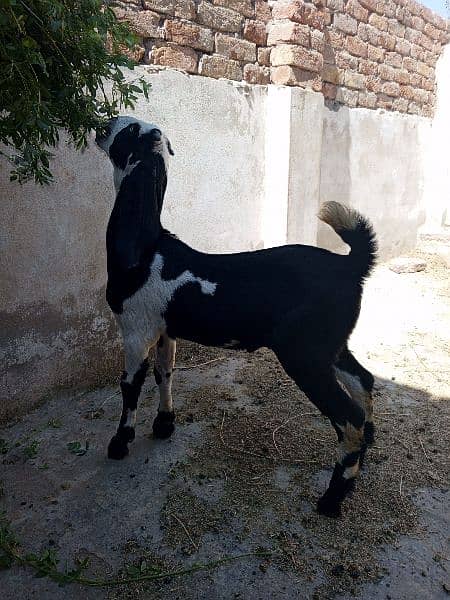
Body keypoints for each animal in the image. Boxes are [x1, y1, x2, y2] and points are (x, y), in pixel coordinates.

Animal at [96, 116, 378, 516]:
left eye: (128, 130)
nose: (102, 124)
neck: (147, 249)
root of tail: (349, 265)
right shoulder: (165, 331)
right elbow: (164, 373)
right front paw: (164, 424)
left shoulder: (135, 330)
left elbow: (130, 386)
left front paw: (120, 442)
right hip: (330, 345)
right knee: (363, 382)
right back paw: (357, 471)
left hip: (304, 354)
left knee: (348, 417)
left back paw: (332, 498)